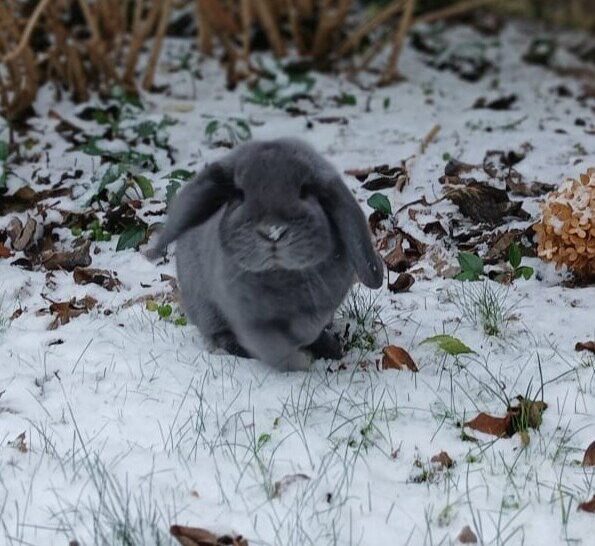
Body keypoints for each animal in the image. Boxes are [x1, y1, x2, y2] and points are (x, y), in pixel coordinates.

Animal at [147, 138, 384, 371]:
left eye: (305, 190)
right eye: (240, 194)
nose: (273, 232)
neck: (281, 275)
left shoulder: (321, 306)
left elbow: (307, 328)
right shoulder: (251, 322)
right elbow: (273, 347)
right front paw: (299, 362)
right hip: (206, 309)